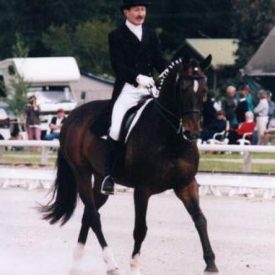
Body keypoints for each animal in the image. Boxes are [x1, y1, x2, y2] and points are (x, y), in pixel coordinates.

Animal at [42, 55, 220, 274]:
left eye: (204, 90)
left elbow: (200, 220)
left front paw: (211, 264)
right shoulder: (142, 189)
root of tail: (72, 117)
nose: (192, 133)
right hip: (81, 173)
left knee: (88, 215)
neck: (171, 138)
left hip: (100, 180)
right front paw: (134, 267)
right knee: (93, 216)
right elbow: (140, 229)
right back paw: (111, 263)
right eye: (182, 88)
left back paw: (77, 262)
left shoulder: (186, 184)